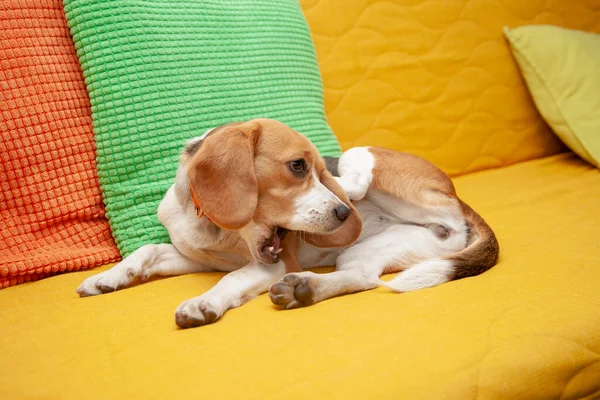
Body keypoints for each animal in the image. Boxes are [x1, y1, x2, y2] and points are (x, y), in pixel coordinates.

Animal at [77, 118, 500, 328]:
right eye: (296, 166)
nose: (343, 215)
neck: (222, 233)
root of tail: (458, 201)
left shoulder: (275, 263)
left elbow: (232, 280)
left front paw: (203, 302)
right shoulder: (196, 258)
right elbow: (147, 250)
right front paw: (109, 277)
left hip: (372, 164)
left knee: (357, 169)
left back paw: (345, 185)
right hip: (382, 248)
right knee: (362, 278)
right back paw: (306, 289)